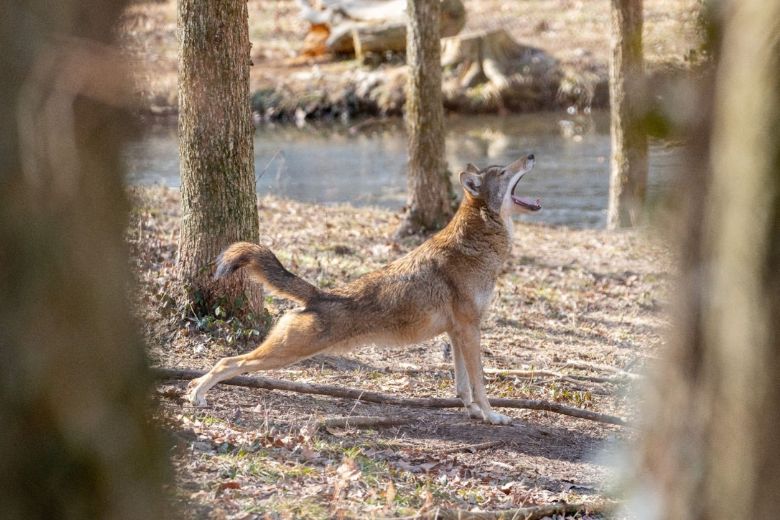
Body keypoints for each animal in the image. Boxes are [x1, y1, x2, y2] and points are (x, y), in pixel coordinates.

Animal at [186, 154, 540, 424]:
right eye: (504, 171)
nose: (531, 155)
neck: (476, 244)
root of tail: (317, 294)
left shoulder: (457, 333)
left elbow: (464, 386)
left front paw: (474, 413)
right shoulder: (470, 329)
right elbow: (480, 383)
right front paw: (493, 416)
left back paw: (193, 387)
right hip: (283, 354)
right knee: (227, 362)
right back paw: (197, 394)